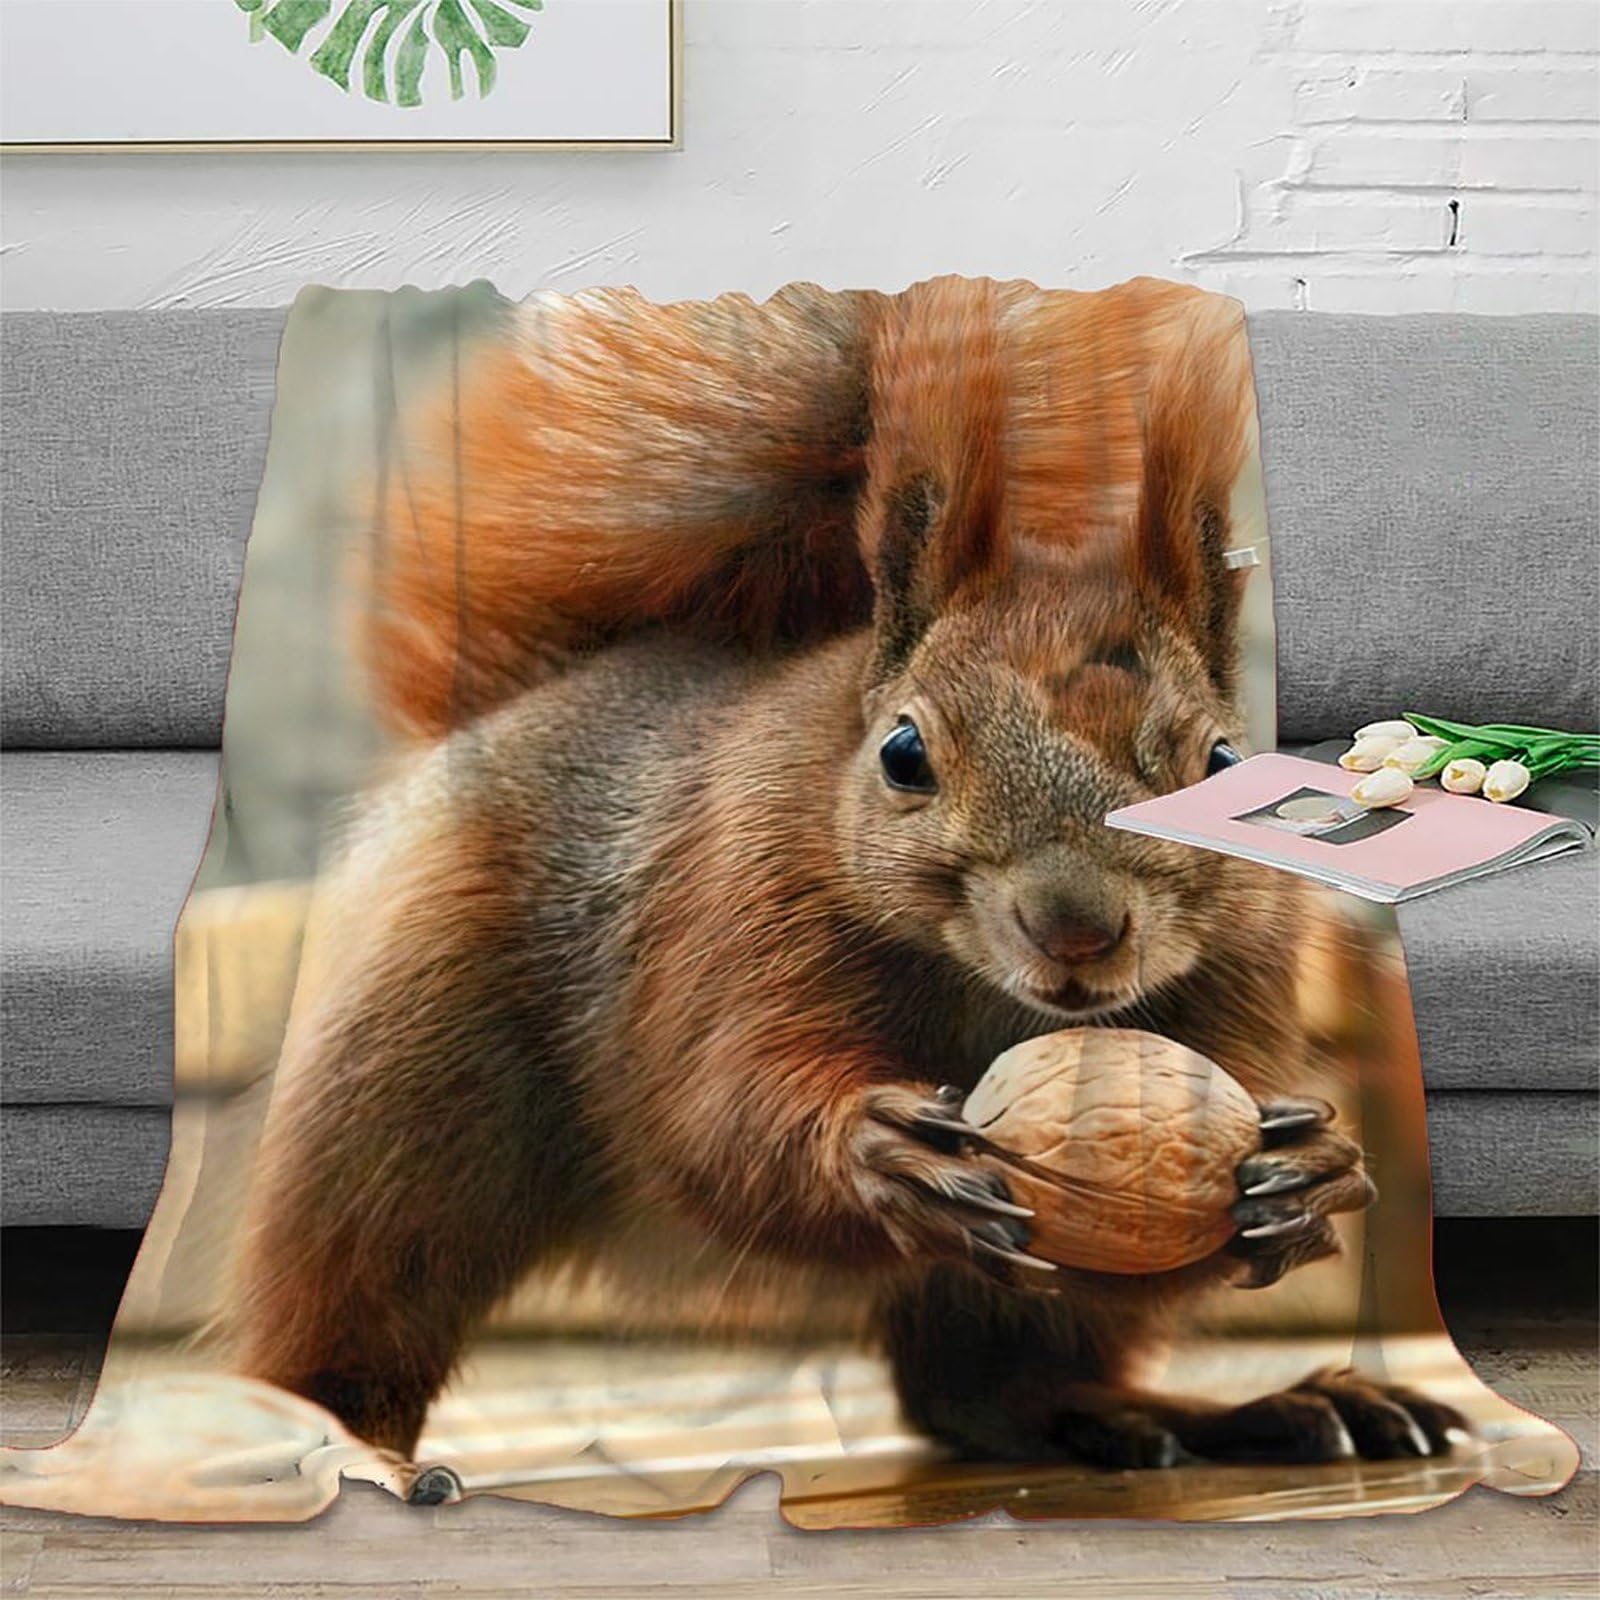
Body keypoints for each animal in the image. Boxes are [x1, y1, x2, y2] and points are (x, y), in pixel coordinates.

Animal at [233, 276, 1466, 1480]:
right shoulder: (732, 912)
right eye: (904, 753)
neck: (989, 996)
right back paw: (333, 1445)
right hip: (415, 1093)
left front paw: (1312, 1173)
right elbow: (719, 1117)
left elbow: (1164, 1232)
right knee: (358, 1303)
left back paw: (1216, 1412)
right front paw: (878, 1154)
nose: (1075, 928)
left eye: (1219, 765)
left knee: (988, 1386)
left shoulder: (1235, 984)